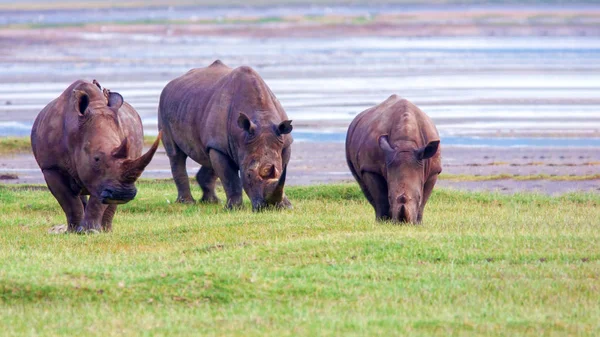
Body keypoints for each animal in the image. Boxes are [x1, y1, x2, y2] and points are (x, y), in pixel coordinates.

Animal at [31, 79, 161, 232]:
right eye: (96, 158)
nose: (122, 194)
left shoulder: (103, 179)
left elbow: (98, 201)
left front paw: (89, 231)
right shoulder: (51, 167)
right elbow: (69, 201)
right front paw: (74, 231)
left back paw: (106, 231)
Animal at [157, 59, 292, 209]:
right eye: (248, 175)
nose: (267, 207)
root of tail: (171, 83)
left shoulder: (284, 142)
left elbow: (282, 167)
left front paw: (286, 206)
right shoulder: (221, 146)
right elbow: (229, 178)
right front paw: (235, 208)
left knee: (207, 154)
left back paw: (212, 201)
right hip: (163, 106)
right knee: (176, 154)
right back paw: (187, 202)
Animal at [346, 94, 440, 223]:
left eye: (418, 197)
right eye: (390, 197)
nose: (403, 223)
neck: (406, 143)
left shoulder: (434, 170)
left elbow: (424, 199)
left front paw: (418, 222)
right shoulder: (371, 168)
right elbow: (380, 197)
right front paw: (383, 221)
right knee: (363, 184)